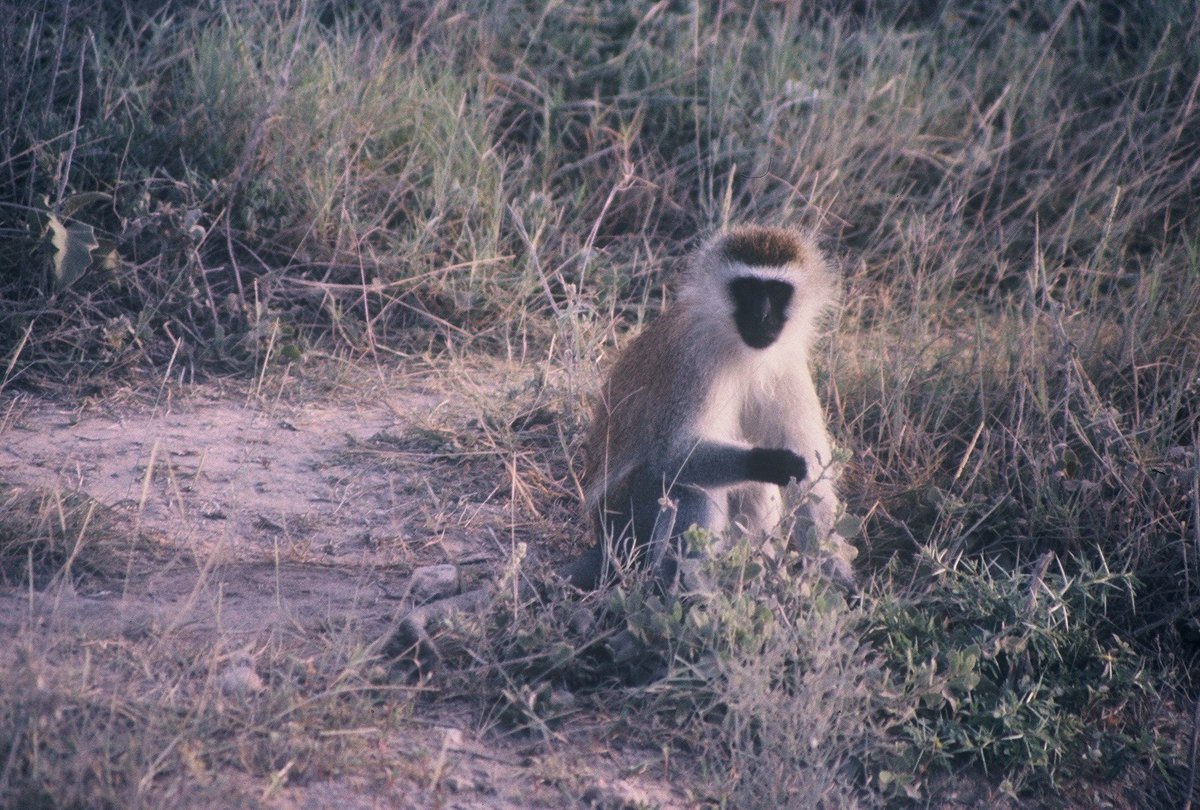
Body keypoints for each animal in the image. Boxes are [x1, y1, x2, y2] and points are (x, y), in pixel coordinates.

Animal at [384, 225, 854, 669]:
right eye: (747, 289)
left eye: (777, 291)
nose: (762, 315)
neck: (740, 347)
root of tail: (602, 538)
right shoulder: (692, 360)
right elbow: (673, 458)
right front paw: (772, 461)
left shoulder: (788, 365)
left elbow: (813, 485)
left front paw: (839, 580)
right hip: (625, 520)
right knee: (689, 486)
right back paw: (696, 605)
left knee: (745, 490)